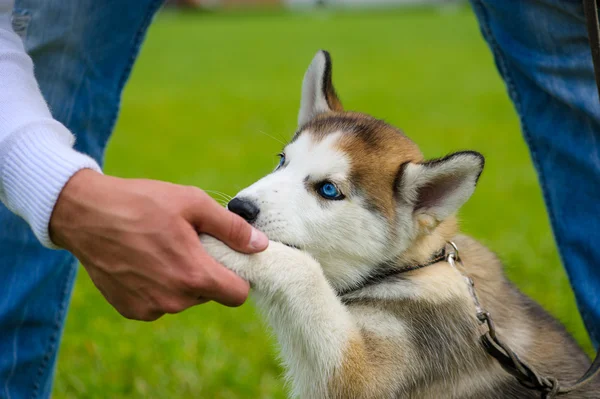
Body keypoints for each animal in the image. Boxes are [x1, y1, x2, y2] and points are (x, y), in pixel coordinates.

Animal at [199, 51, 596, 398]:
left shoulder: (365, 374)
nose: (238, 208)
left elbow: (307, 273)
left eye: (329, 190)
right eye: (282, 160)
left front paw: (226, 244)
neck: (417, 265)